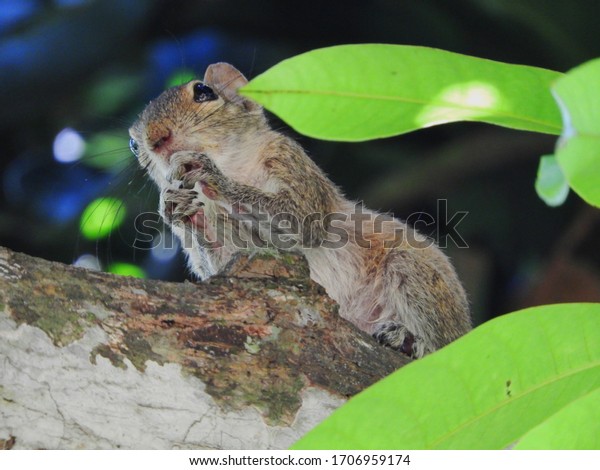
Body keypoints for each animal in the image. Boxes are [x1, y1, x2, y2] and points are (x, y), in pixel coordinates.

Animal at [129, 61, 472, 356]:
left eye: (203, 92)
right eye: (134, 144)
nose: (158, 139)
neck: (236, 165)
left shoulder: (290, 160)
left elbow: (302, 221)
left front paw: (212, 175)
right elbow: (225, 261)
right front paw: (178, 208)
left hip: (416, 273)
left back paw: (410, 341)